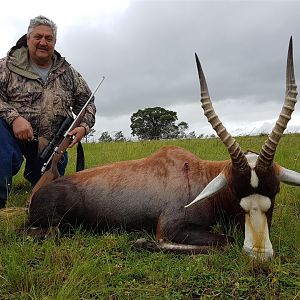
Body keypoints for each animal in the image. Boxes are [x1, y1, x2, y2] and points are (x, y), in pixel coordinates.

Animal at [27, 37, 298, 258]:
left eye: (275, 191)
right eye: (234, 190)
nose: (259, 253)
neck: (198, 173)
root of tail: (36, 195)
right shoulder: (170, 226)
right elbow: (224, 241)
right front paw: (141, 242)